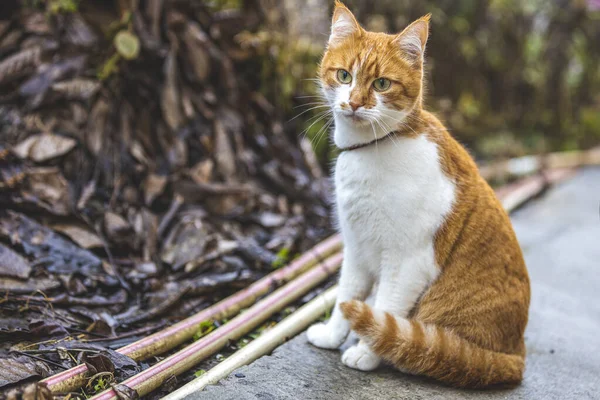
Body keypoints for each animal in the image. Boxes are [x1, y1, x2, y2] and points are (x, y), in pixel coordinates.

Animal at [308, 0, 532, 388]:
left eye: (382, 84)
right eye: (344, 76)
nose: (354, 103)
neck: (373, 149)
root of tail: (516, 355)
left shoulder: (407, 260)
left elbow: (384, 308)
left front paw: (367, 353)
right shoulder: (356, 247)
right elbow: (346, 295)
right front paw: (332, 335)